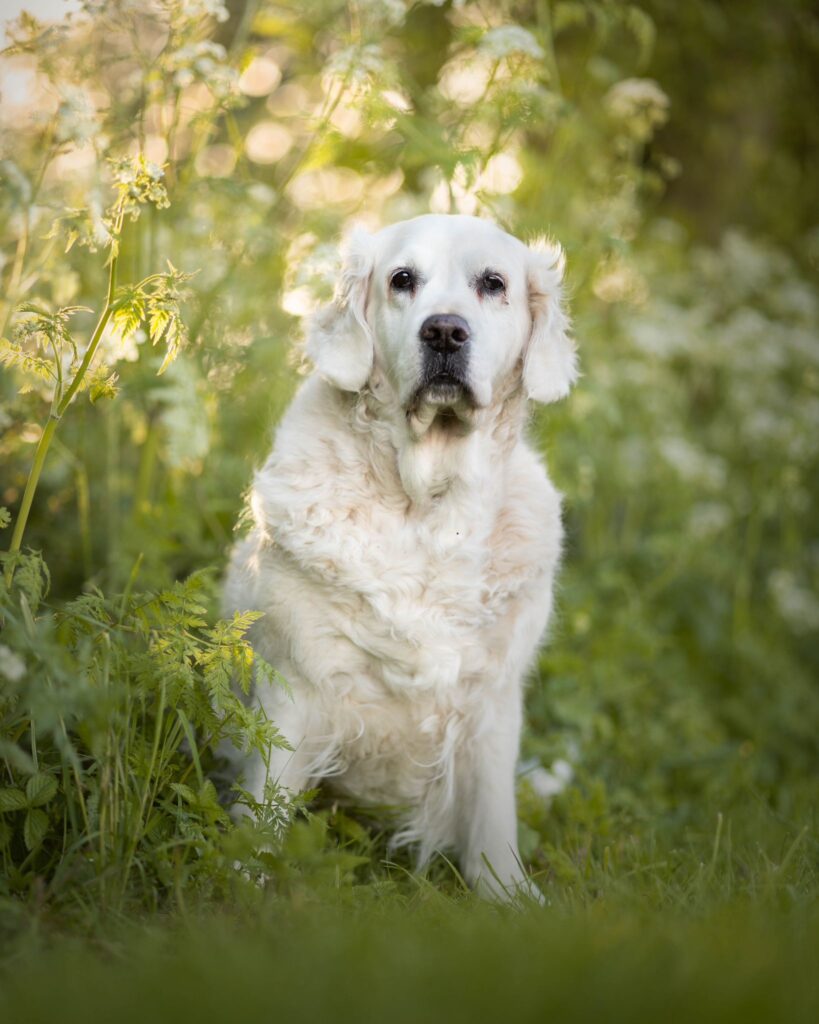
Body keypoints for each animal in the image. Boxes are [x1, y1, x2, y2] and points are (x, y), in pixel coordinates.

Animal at [225, 214, 577, 897]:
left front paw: (509, 896)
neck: (428, 507)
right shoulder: (294, 684)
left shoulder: (493, 701)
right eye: (402, 279)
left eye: (493, 283)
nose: (444, 331)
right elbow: (262, 810)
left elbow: (492, 820)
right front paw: (238, 885)